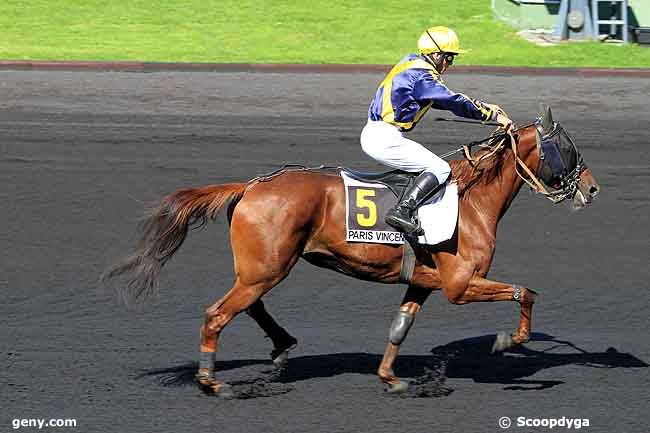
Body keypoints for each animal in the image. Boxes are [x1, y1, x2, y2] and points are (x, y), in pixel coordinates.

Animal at [102, 105, 596, 394]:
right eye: (567, 147)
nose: (591, 188)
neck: (471, 198)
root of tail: (251, 186)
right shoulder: (460, 284)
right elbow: (525, 292)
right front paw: (507, 340)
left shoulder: (424, 281)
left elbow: (400, 326)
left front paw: (390, 377)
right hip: (268, 267)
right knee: (218, 313)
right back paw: (210, 380)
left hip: (264, 267)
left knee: (249, 305)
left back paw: (282, 345)